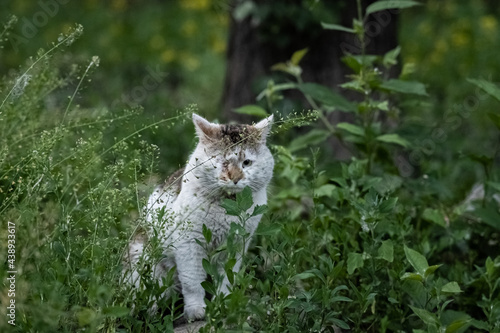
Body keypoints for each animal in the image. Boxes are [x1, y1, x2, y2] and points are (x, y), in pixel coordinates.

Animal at [124, 113, 274, 320]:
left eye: (247, 163)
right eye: (222, 162)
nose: (235, 178)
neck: (228, 207)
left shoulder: (236, 246)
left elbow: (226, 279)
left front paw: (223, 304)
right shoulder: (188, 245)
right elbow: (193, 282)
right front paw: (196, 310)